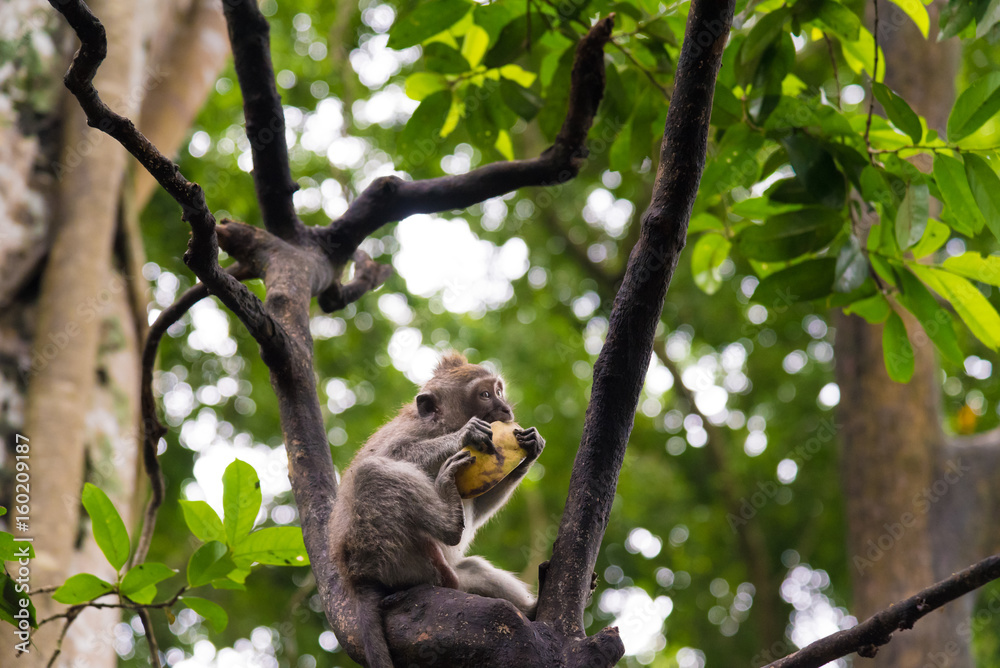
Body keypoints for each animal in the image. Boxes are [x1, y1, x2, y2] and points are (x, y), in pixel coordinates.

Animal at [329, 353, 545, 668]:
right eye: (485, 395)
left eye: (499, 390)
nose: (506, 408)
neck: (441, 426)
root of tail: (357, 578)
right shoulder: (412, 432)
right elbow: (390, 455)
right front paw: (463, 435)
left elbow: (476, 513)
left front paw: (531, 449)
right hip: (389, 551)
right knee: (371, 472)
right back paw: (450, 524)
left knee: (471, 569)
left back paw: (531, 610)